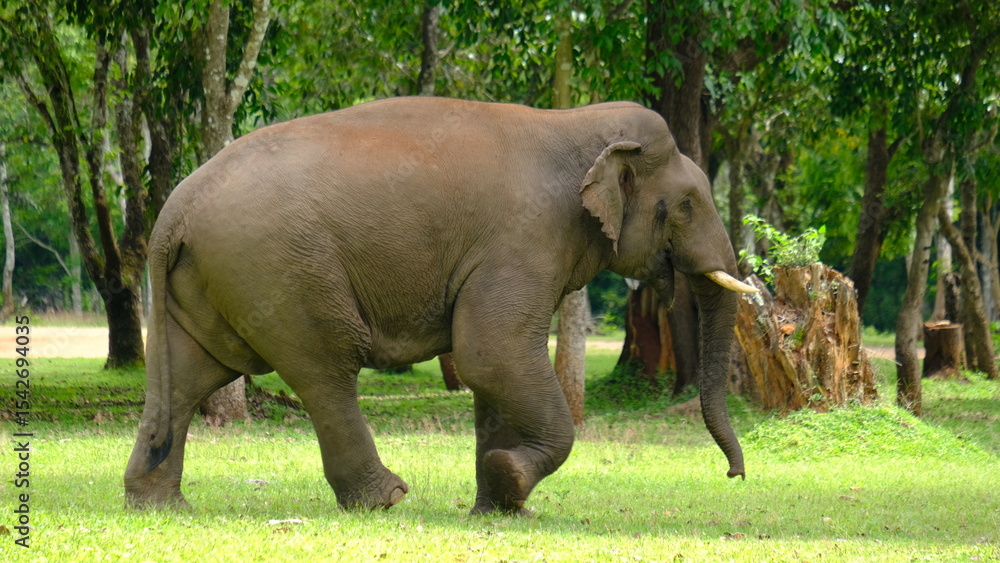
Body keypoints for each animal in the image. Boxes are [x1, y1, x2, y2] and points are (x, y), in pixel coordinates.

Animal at [124, 96, 756, 515]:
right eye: (687, 204)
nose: (734, 473)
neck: (576, 121)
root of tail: (174, 210)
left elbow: (493, 369)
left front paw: (501, 508)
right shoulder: (524, 240)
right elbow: (491, 354)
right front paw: (509, 478)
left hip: (210, 281)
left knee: (191, 377)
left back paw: (160, 507)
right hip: (279, 271)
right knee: (326, 369)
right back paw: (386, 499)